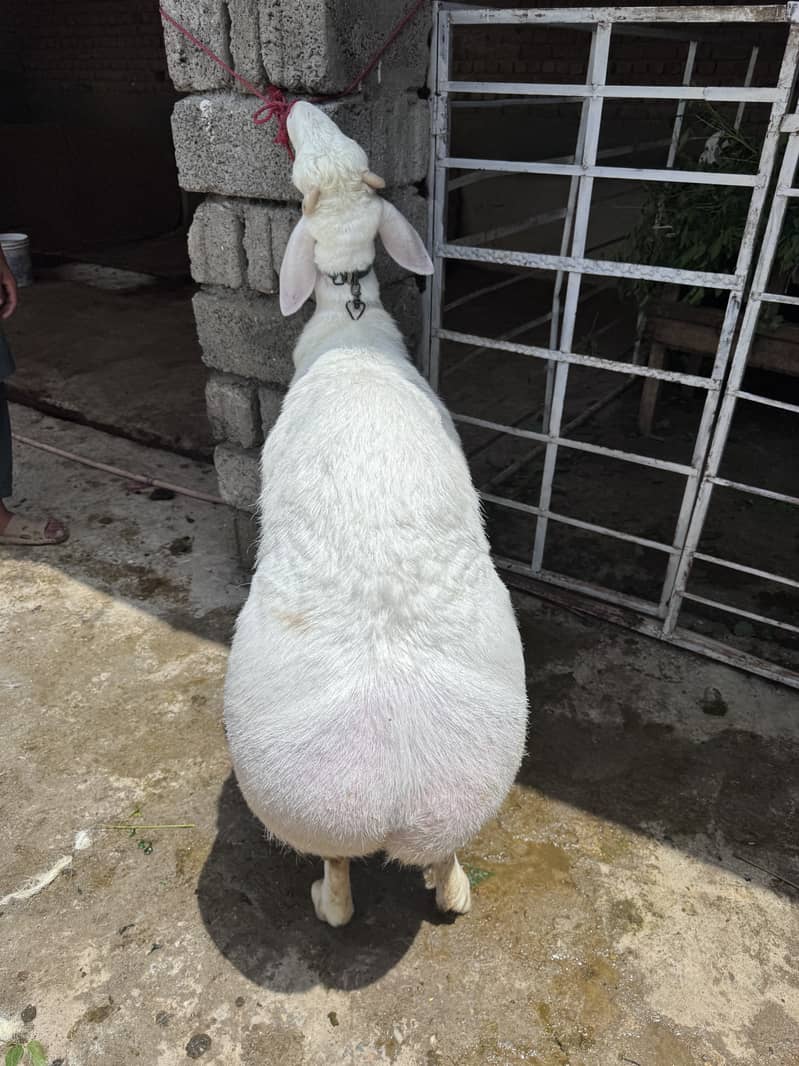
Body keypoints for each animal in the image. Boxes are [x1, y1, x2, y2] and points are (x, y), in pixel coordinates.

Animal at [223, 101, 528, 927]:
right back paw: (451, 893)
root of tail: (393, 792)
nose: (298, 108)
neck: (351, 324)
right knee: (447, 862)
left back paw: (323, 899)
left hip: (308, 818)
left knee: (337, 883)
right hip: (460, 804)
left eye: (303, 177)